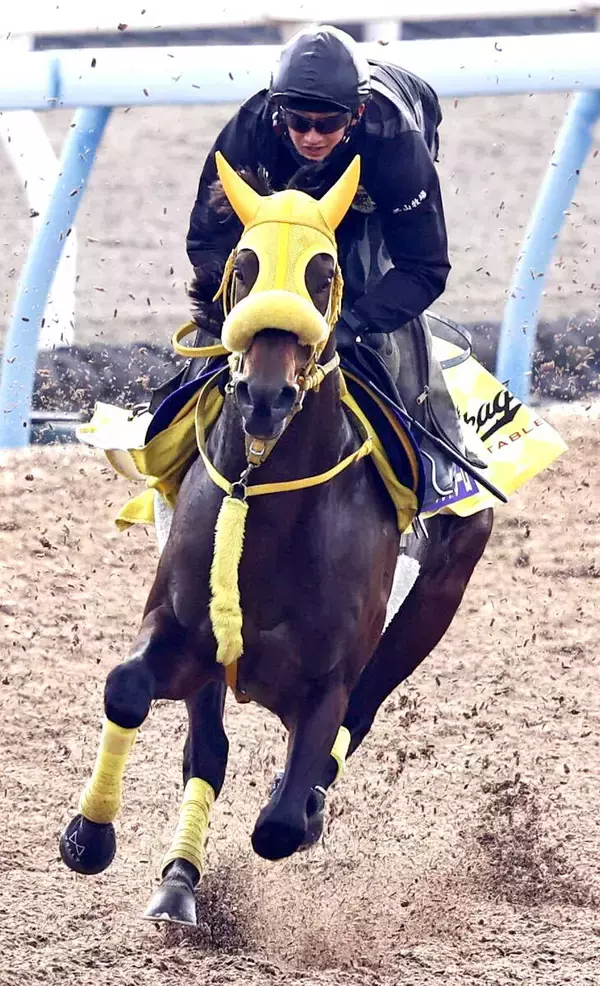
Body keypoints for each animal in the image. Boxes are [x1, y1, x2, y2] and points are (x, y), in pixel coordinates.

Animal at [59, 153, 493, 926]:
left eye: (324, 273)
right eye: (242, 265)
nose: (264, 397)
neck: (269, 519)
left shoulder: (325, 681)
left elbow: (281, 823)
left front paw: (303, 805)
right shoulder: (186, 634)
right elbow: (128, 691)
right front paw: (88, 835)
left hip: (442, 578)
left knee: (354, 720)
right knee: (208, 750)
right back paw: (177, 882)